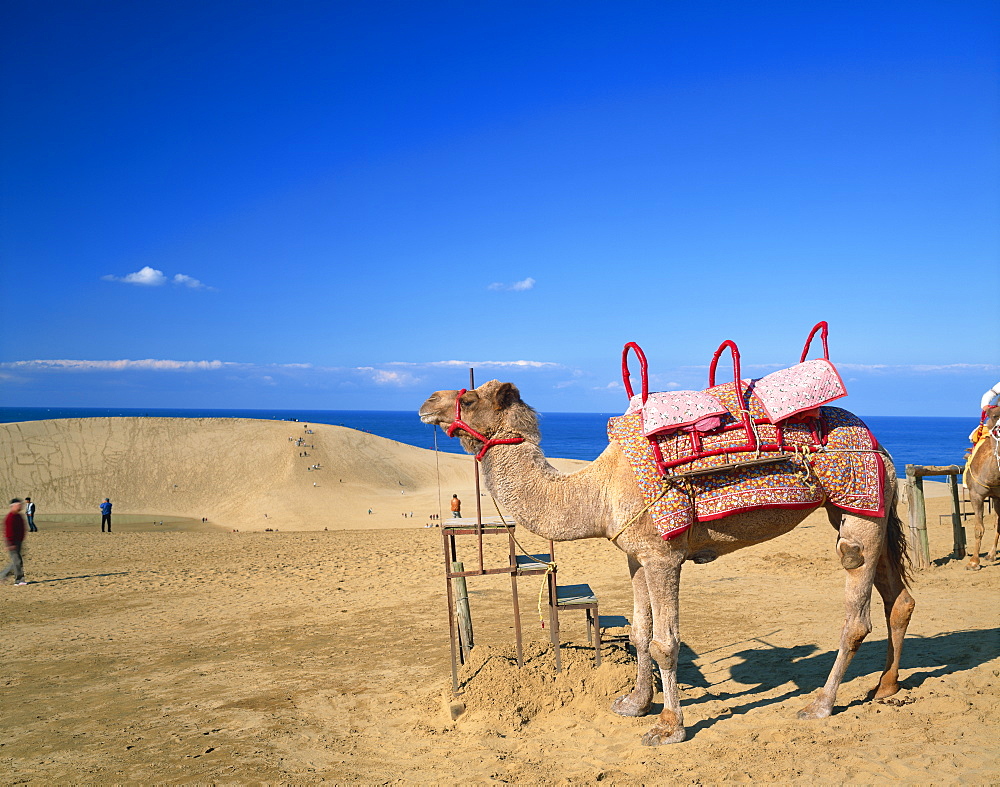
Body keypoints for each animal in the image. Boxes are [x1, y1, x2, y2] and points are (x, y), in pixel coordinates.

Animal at [418, 380, 916, 744]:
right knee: (900, 599)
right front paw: (634, 704)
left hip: (859, 507)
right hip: (866, 506)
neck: (596, 490)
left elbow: (665, 643)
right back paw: (886, 687)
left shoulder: (663, 556)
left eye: (467, 397)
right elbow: (639, 634)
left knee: (856, 609)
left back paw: (820, 705)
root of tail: (879, 445)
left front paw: (668, 727)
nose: (425, 403)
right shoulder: (636, 556)